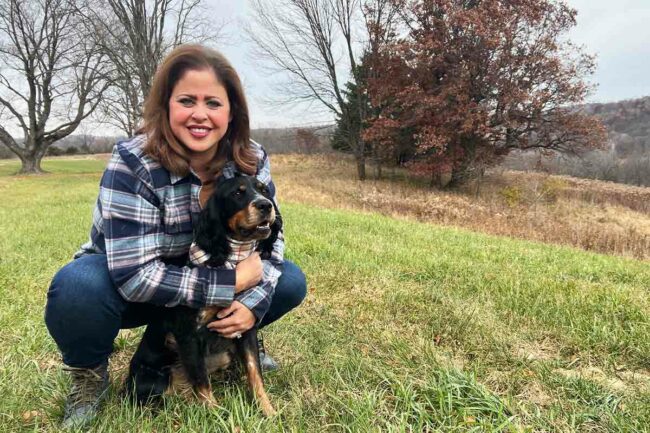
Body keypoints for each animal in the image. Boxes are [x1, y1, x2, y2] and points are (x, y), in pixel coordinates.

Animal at [124, 172, 280, 416]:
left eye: (264, 190)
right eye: (237, 193)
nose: (265, 205)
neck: (232, 260)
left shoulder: (245, 324)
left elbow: (254, 371)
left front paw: (267, 409)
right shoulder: (189, 334)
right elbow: (201, 380)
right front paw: (216, 414)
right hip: (155, 380)